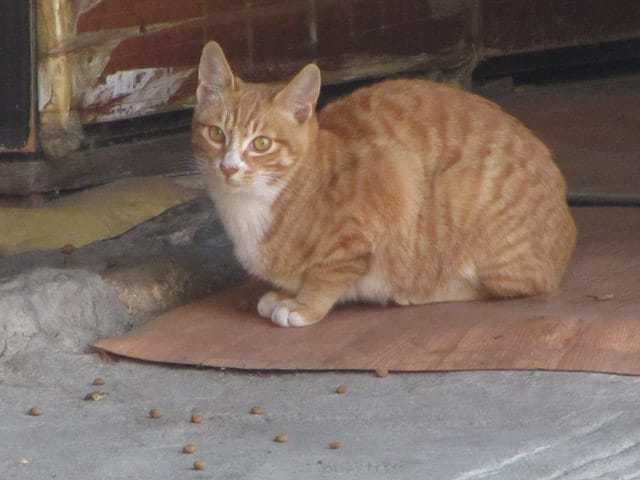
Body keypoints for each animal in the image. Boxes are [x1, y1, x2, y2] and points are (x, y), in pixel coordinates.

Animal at [192, 42, 576, 326]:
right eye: (216, 134)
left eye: (261, 143)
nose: (228, 167)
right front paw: (288, 293)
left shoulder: (392, 177)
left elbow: (329, 274)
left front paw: (305, 304)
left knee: (509, 288)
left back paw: (421, 291)